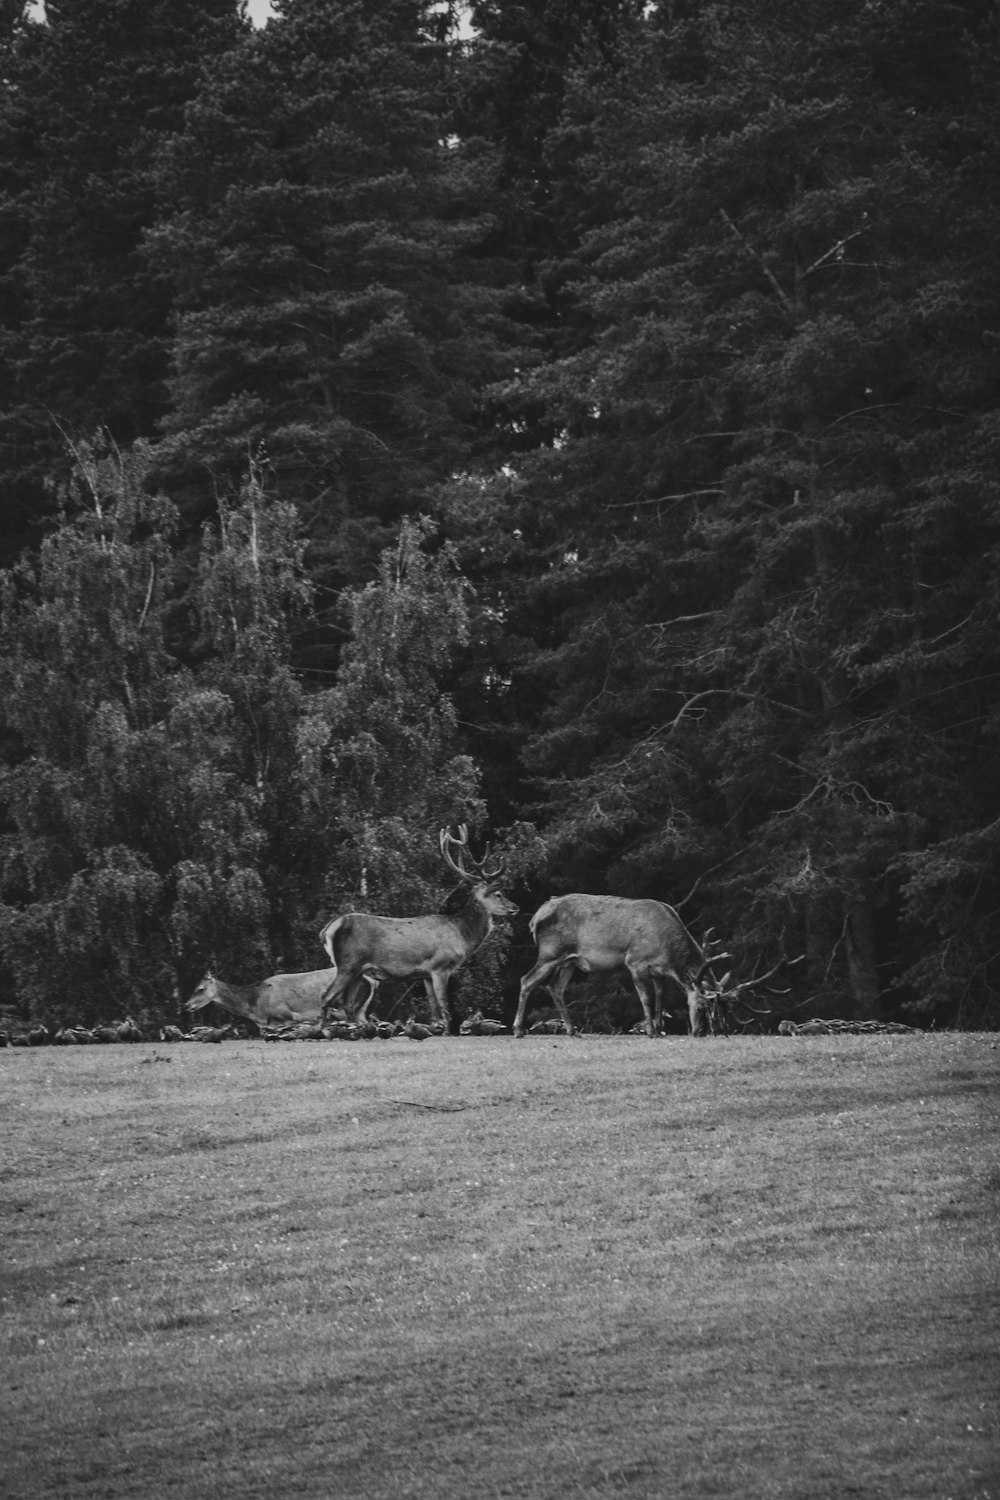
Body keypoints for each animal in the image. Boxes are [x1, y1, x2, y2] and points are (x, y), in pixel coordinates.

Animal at [320, 828, 521, 1038]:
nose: (516, 907)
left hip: (358, 971)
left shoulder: (425, 974)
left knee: (347, 1004)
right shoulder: (440, 967)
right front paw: (447, 1033)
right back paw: (324, 1032)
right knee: (326, 997)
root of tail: (329, 928)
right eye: (498, 894)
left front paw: (437, 1031)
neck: (461, 935)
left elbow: (434, 1008)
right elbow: (445, 1007)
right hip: (348, 963)